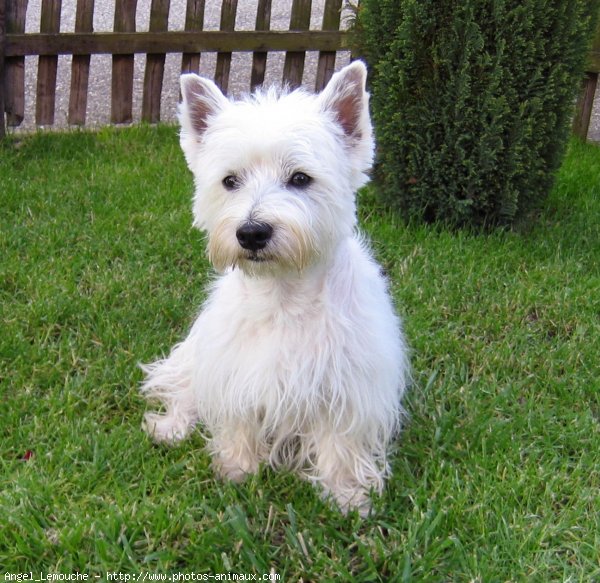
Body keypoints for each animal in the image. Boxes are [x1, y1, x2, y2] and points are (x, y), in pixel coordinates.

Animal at [142, 61, 408, 512]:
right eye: (230, 181)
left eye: (300, 178)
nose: (251, 232)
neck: (283, 294)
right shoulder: (235, 370)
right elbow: (237, 418)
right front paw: (237, 467)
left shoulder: (348, 385)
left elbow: (340, 441)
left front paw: (346, 494)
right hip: (195, 356)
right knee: (184, 391)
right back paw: (169, 428)